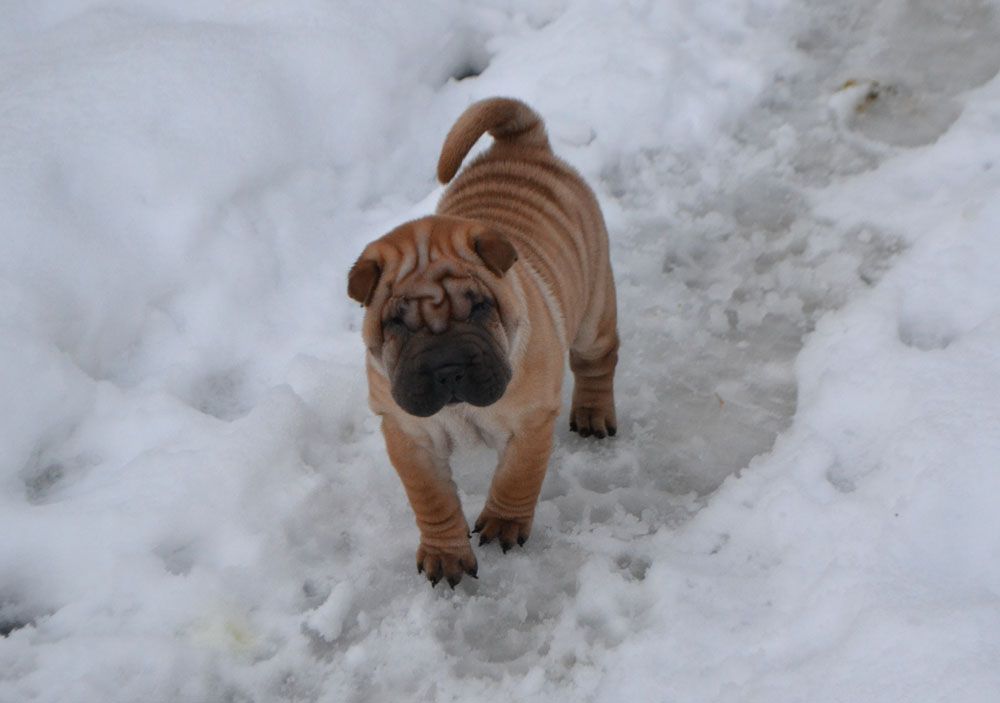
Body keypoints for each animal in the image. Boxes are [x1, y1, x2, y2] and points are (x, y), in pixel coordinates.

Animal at [350, 96, 616, 584]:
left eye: (478, 307)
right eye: (398, 323)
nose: (448, 366)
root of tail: (522, 144)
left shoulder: (531, 422)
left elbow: (517, 477)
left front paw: (504, 523)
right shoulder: (408, 435)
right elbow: (431, 498)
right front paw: (446, 553)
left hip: (594, 312)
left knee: (597, 362)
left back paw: (593, 413)